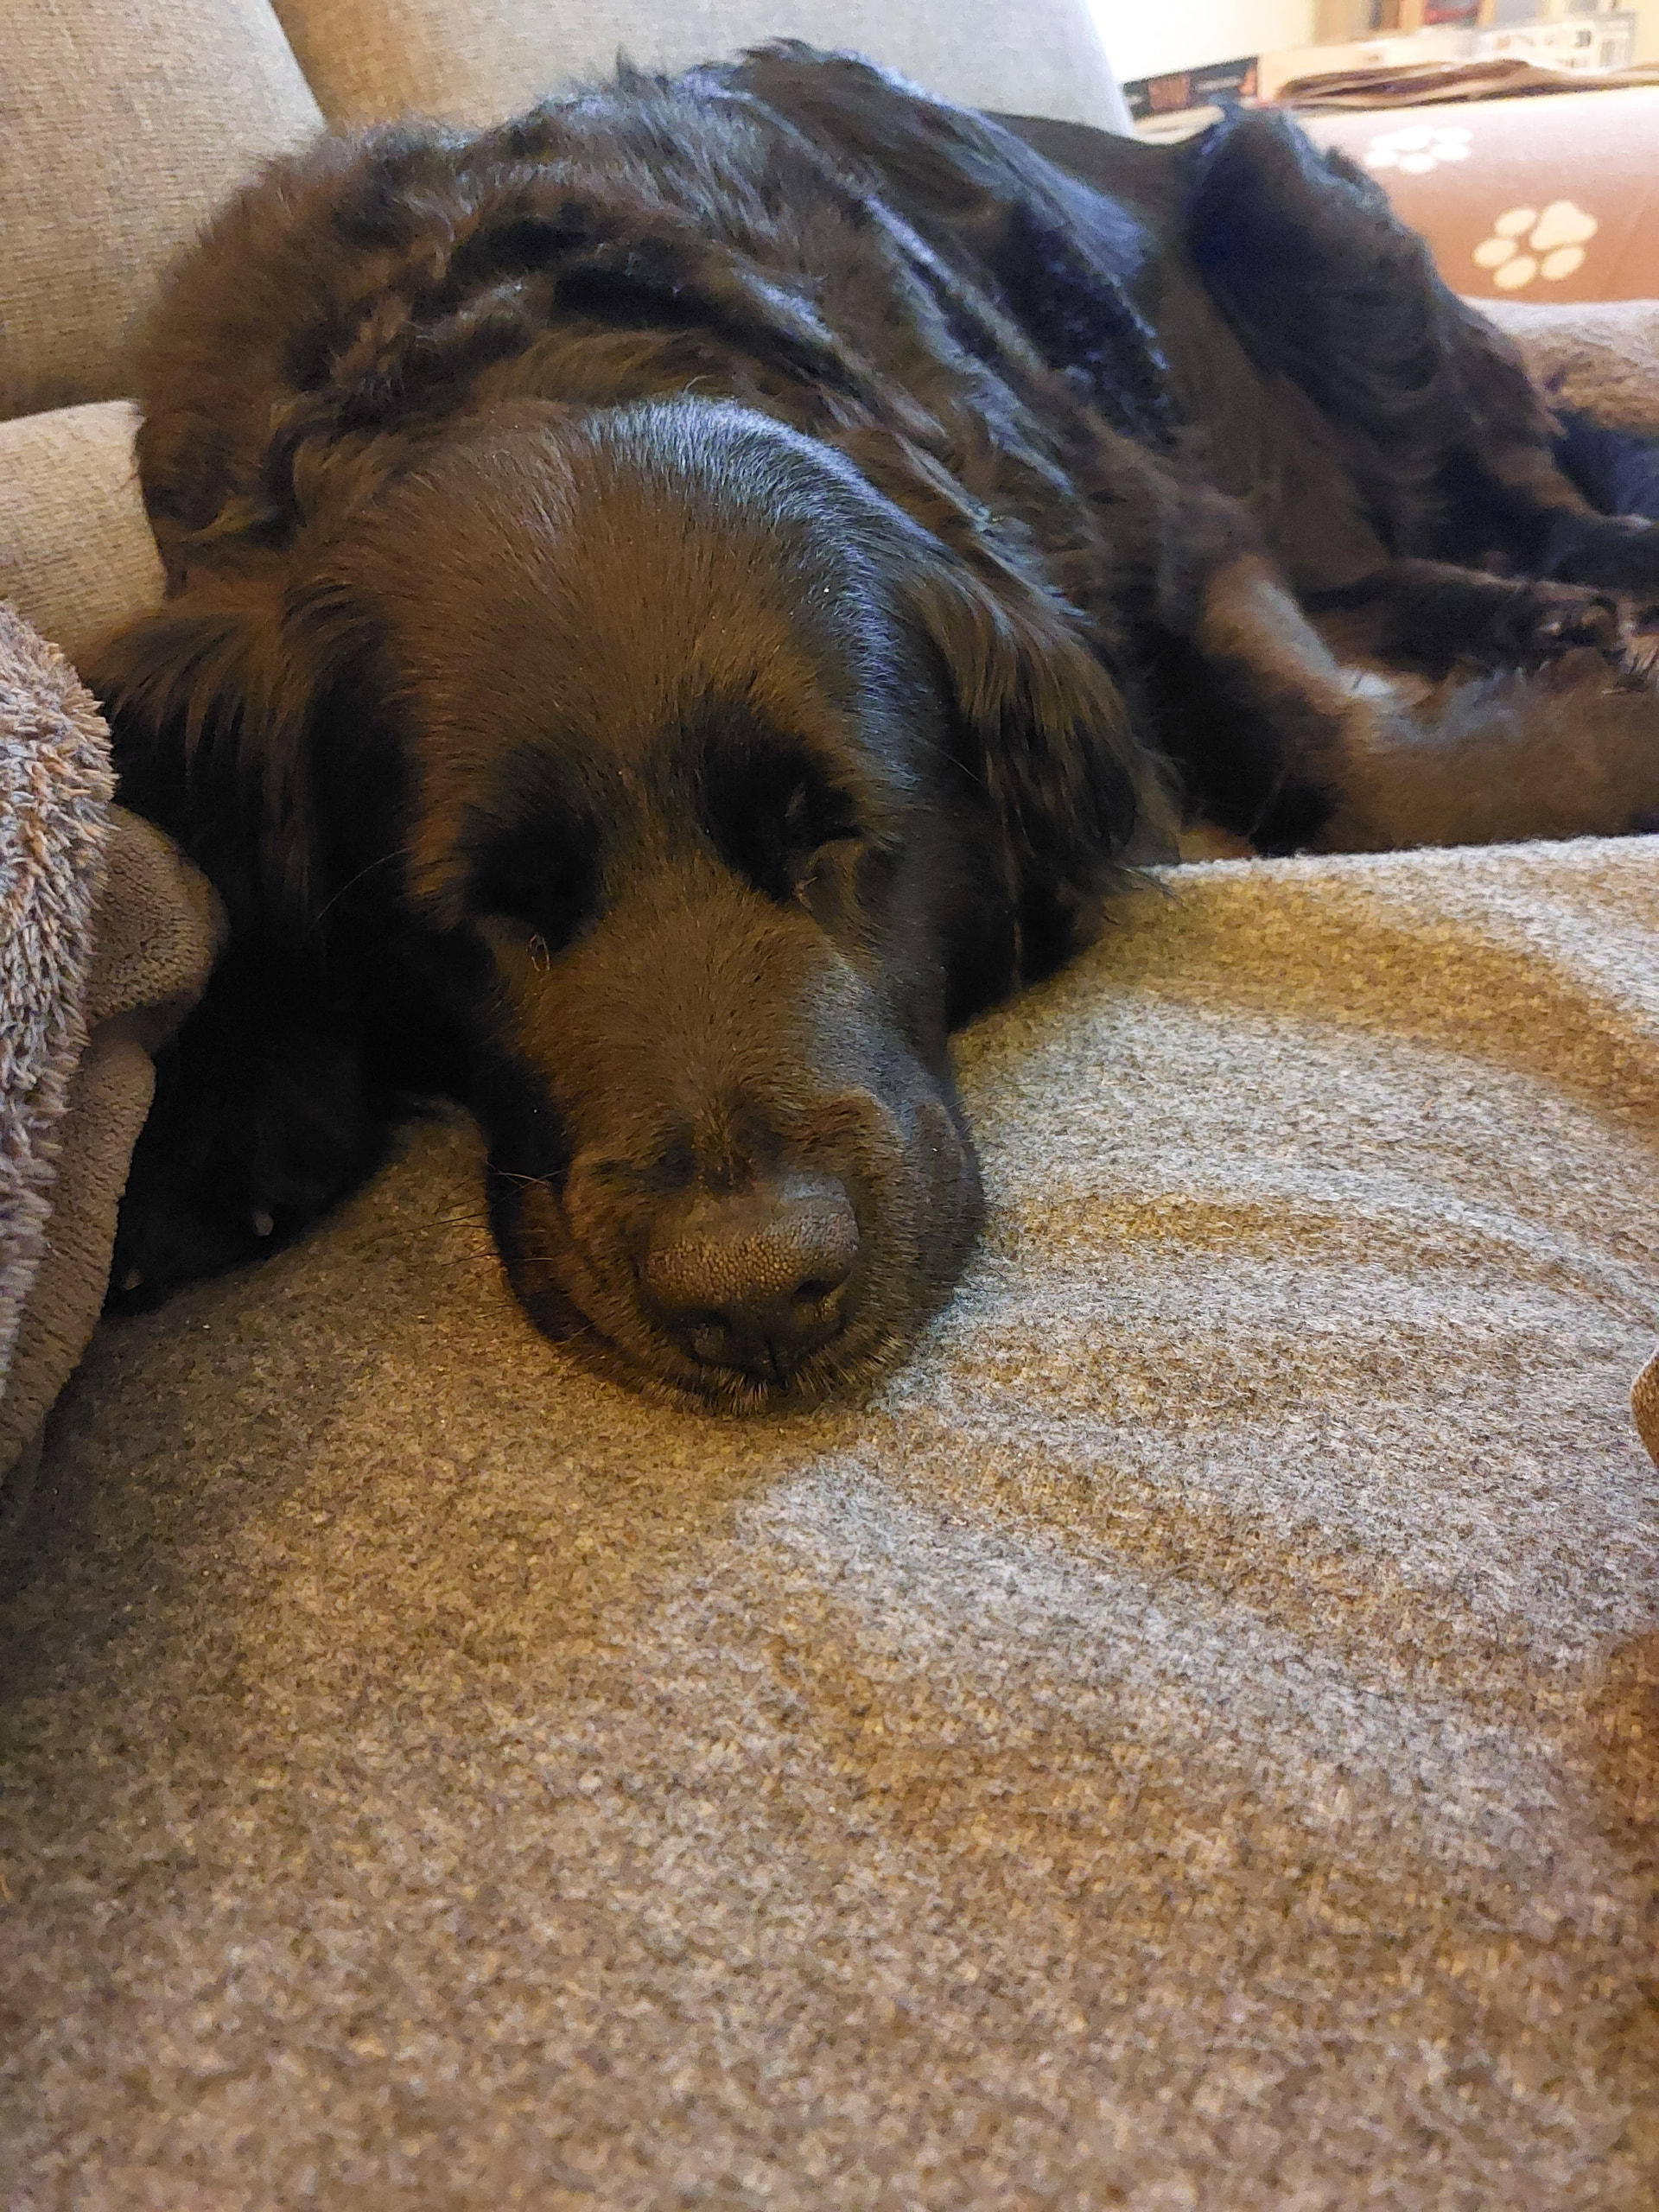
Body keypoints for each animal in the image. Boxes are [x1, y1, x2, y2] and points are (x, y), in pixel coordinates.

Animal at [93, 44, 1659, 1409]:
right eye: (483, 916)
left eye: (837, 839)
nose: (752, 1294)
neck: (532, 341)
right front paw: (209, 1108)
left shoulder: (1157, 527)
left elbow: (1339, 760)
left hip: (1293, 204)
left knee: (1522, 500)